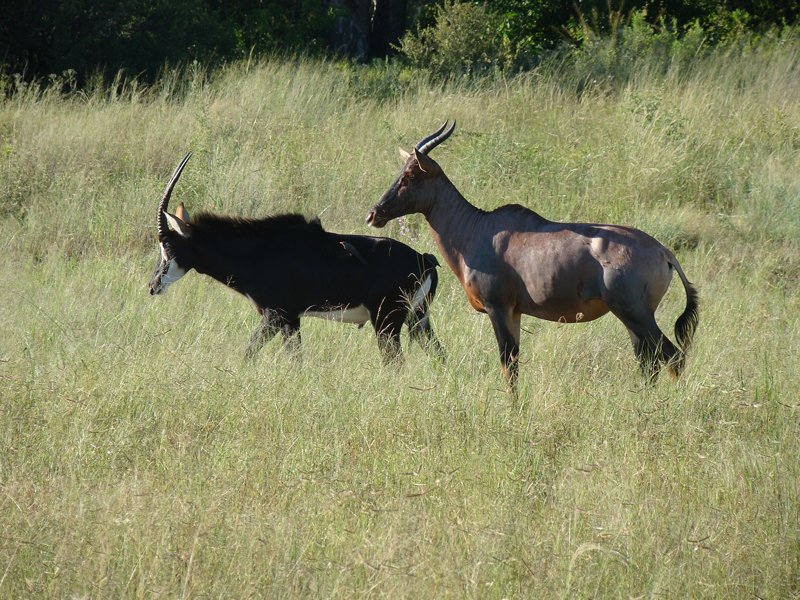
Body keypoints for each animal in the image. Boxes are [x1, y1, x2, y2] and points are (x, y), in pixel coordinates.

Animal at [152, 152, 444, 364]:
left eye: (167, 246)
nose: (153, 286)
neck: (255, 252)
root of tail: (425, 260)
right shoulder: (291, 320)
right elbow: (294, 359)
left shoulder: (275, 315)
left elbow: (252, 353)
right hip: (418, 319)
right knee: (439, 355)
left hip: (387, 322)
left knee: (395, 362)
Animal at [368, 124, 700, 392]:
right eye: (401, 171)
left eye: (411, 175)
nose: (374, 214)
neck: (480, 229)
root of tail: (663, 251)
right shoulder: (514, 312)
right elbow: (514, 365)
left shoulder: (498, 308)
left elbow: (507, 363)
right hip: (631, 318)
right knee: (649, 363)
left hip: (636, 313)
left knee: (672, 357)